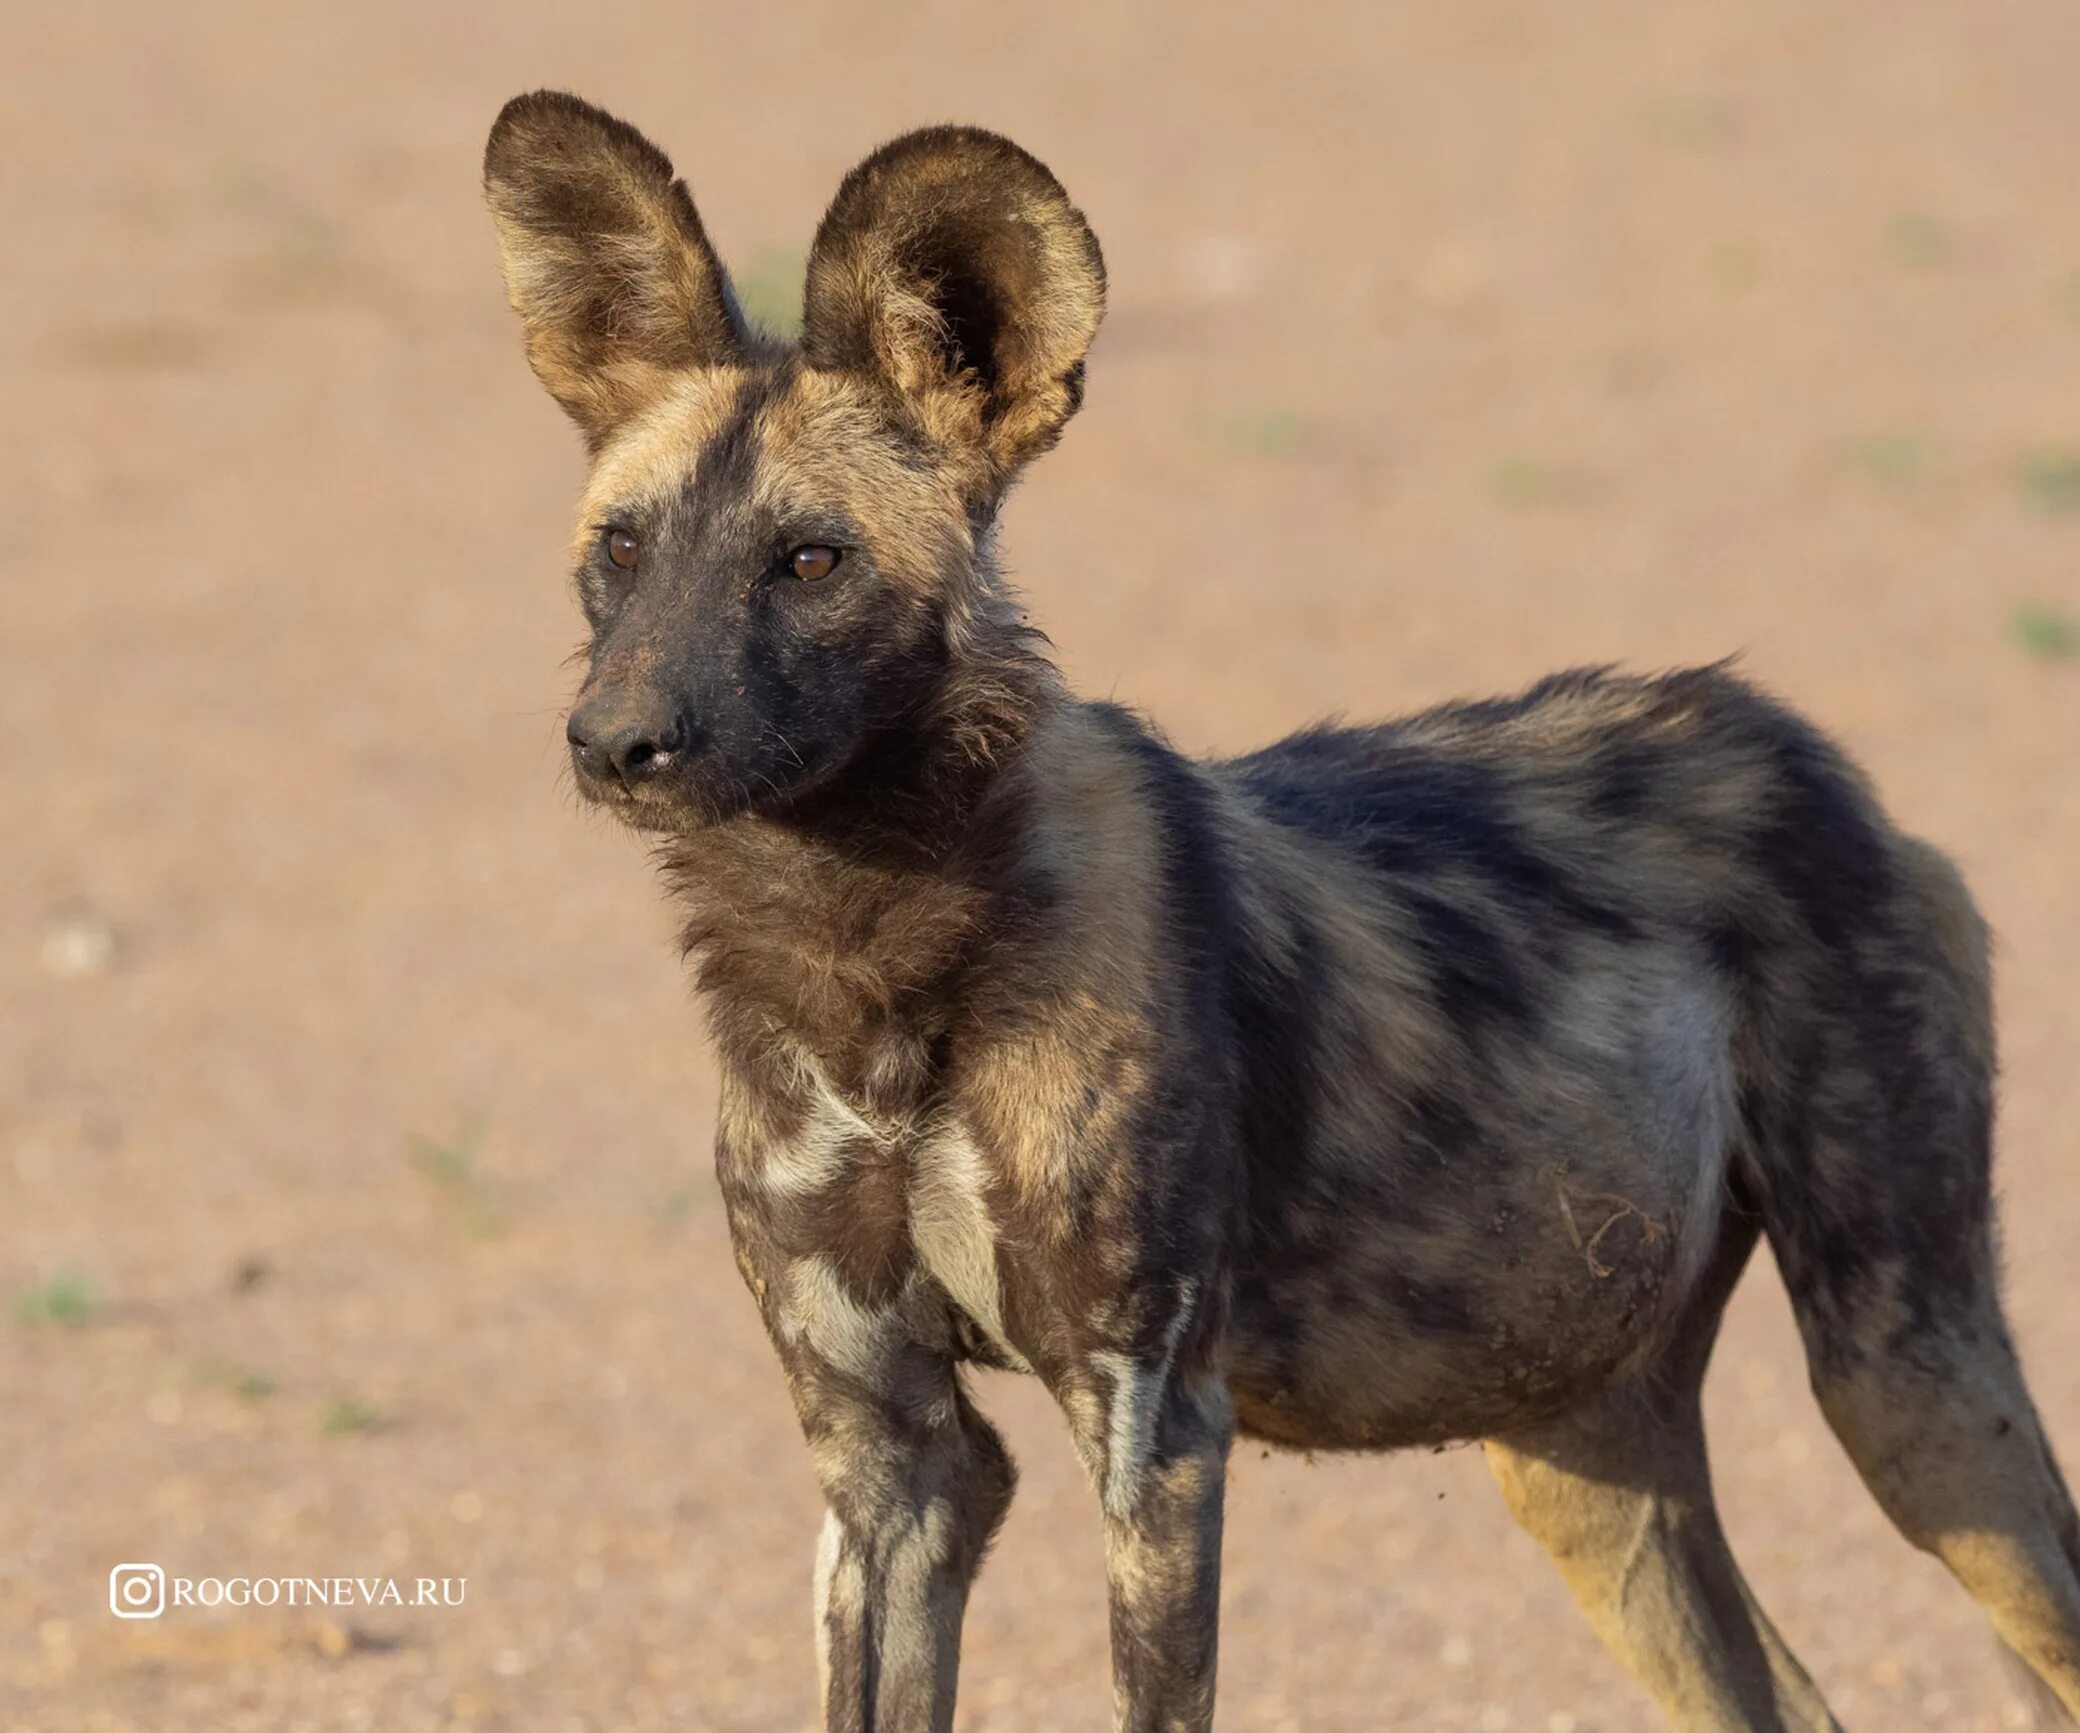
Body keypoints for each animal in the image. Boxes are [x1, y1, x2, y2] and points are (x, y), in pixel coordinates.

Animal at [486, 94, 2080, 1730]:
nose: (615, 742)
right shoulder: (892, 1463)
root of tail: (1802, 746)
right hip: (1582, 1447)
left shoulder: (1154, 1437)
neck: (868, 953)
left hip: (1908, 1378)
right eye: (623, 549)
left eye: (810, 561)